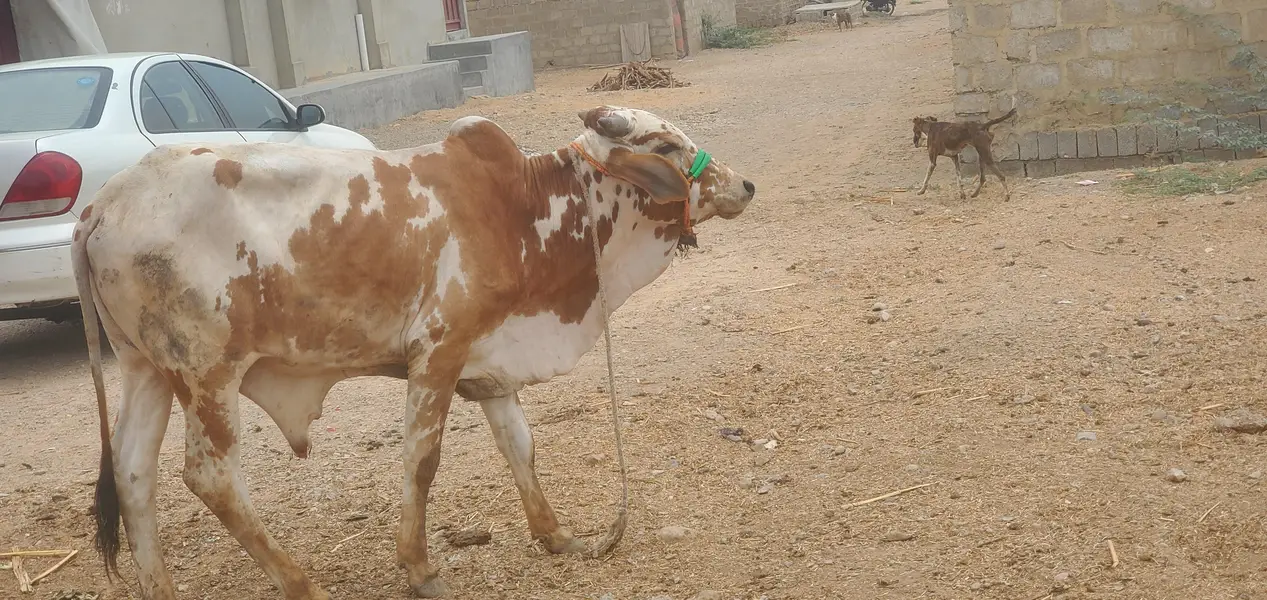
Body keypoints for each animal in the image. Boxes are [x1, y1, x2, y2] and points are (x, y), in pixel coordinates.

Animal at [71, 105, 756, 599]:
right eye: (664, 145)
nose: (744, 184)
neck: (522, 209)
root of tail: (104, 203)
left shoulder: (490, 360)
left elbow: (520, 446)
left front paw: (558, 536)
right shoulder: (438, 352)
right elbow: (422, 461)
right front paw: (420, 569)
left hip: (146, 369)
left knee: (134, 472)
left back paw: (161, 588)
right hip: (208, 374)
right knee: (208, 477)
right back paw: (302, 583)